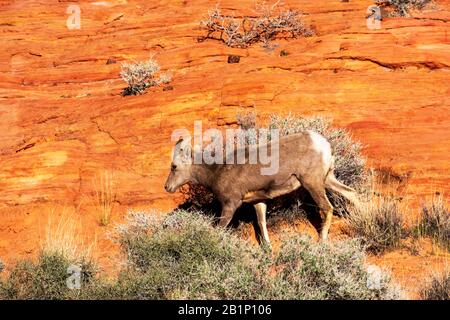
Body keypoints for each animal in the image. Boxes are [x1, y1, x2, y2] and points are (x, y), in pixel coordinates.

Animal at [165, 131, 358, 244]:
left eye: (174, 166)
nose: (167, 187)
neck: (217, 171)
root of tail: (323, 144)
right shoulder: (258, 202)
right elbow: (261, 224)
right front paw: (268, 250)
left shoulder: (230, 205)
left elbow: (220, 228)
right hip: (327, 179)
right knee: (352, 194)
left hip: (312, 182)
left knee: (327, 207)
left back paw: (321, 242)